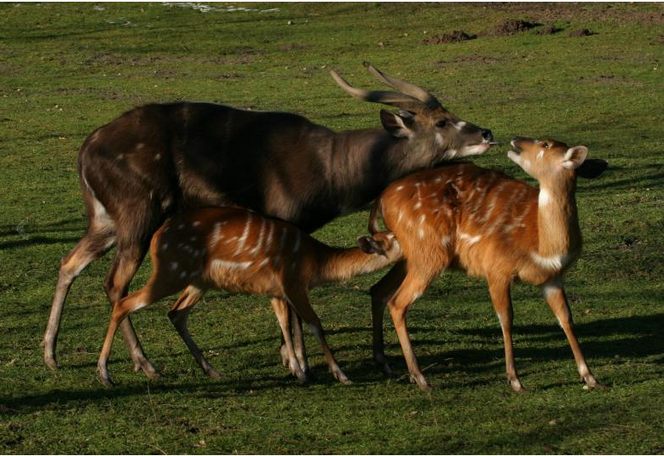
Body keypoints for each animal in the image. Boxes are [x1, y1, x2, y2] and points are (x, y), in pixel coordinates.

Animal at [96, 208, 402, 388]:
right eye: (395, 239)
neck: (315, 263)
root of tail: (157, 236)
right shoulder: (293, 283)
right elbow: (315, 324)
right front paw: (341, 375)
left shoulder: (275, 292)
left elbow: (284, 324)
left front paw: (298, 372)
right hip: (170, 273)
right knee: (124, 303)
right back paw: (106, 374)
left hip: (198, 281)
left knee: (176, 313)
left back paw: (213, 371)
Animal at [368, 136, 608, 392]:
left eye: (545, 145)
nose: (516, 139)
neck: (543, 246)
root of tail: (382, 200)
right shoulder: (496, 268)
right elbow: (507, 318)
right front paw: (515, 381)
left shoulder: (552, 278)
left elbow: (566, 318)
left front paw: (591, 378)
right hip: (430, 252)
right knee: (398, 302)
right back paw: (421, 378)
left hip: (413, 253)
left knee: (379, 290)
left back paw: (385, 363)